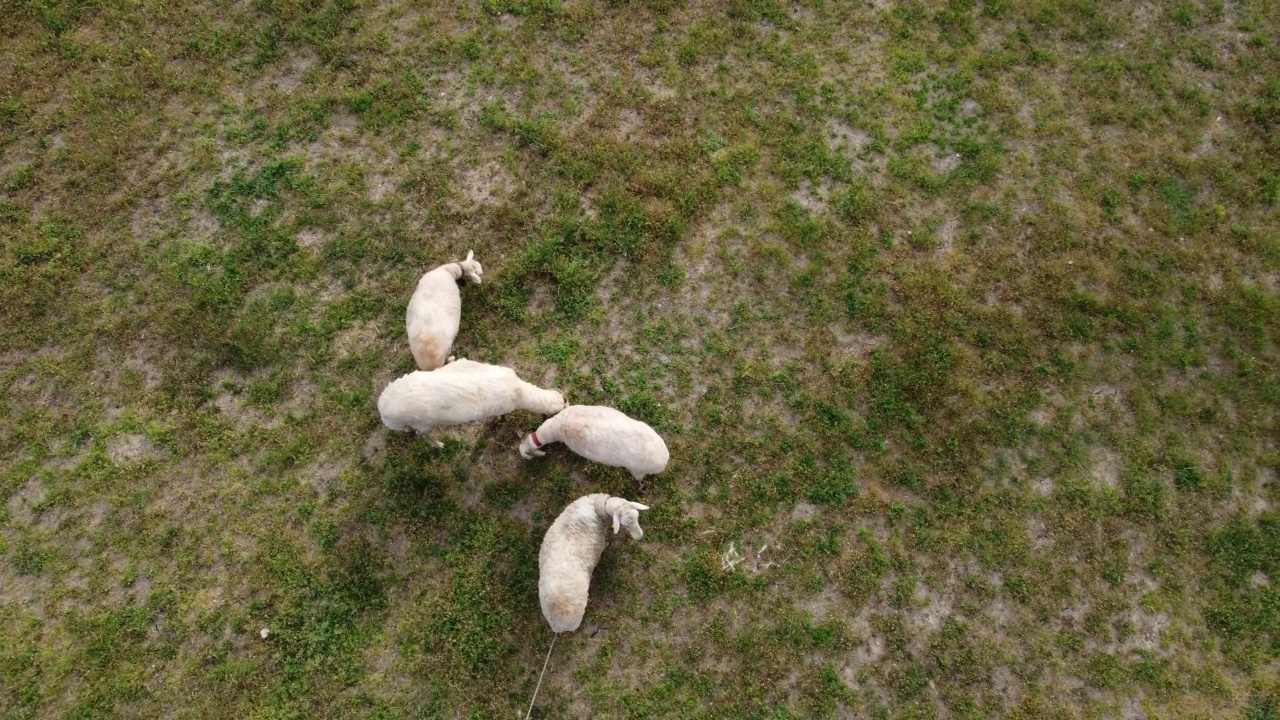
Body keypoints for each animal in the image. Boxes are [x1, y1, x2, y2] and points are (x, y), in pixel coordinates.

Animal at [376, 353, 563, 443]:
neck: (519, 390)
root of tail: (382, 407)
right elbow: (498, 416)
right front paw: (498, 420)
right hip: (422, 423)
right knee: (421, 434)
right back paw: (437, 444)